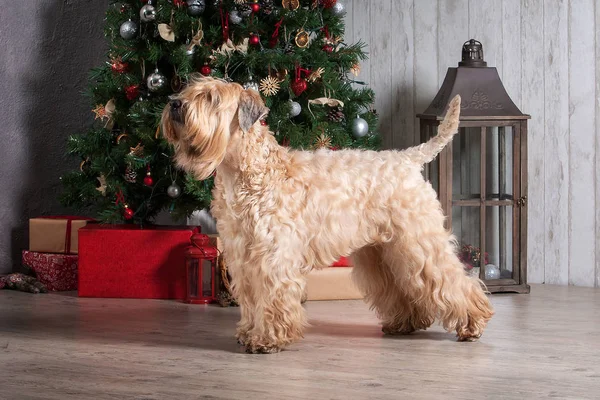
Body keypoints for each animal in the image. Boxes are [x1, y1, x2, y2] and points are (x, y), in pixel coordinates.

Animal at [162, 74, 494, 354]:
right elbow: (251, 297)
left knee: (453, 280)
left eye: (212, 98)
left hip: (419, 243)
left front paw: (268, 339)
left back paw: (473, 324)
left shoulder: (272, 255)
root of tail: (407, 159)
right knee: (402, 286)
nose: (174, 103)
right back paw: (405, 323)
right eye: (190, 90)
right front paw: (248, 332)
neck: (249, 172)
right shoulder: (242, 255)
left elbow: (271, 297)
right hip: (383, 250)